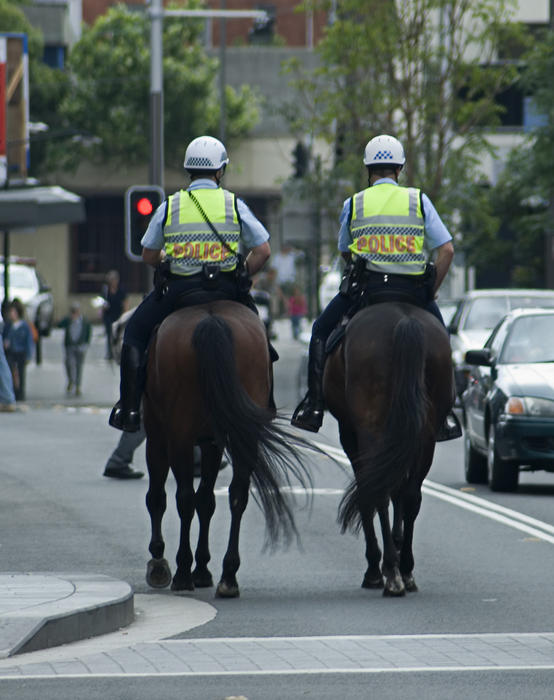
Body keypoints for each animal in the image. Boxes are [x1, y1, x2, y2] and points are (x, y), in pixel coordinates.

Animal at [140, 300, 308, 596]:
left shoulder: (157, 436)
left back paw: (182, 572)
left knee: (183, 498)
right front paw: (203, 569)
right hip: (243, 432)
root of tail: (212, 320)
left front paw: (160, 562)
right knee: (236, 494)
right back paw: (228, 576)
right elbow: (207, 501)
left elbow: (158, 497)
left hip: (179, 434)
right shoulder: (213, 442)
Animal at [324, 300, 452, 596]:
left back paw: (390, 573)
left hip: (371, 430)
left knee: (379, 492)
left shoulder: (350, 434)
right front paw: (396, 542)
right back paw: (404, 569)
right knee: (411, 495)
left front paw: (375, 567)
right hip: (424, 435)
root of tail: (404, 320)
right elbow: (400, 493)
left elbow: (369, 493)